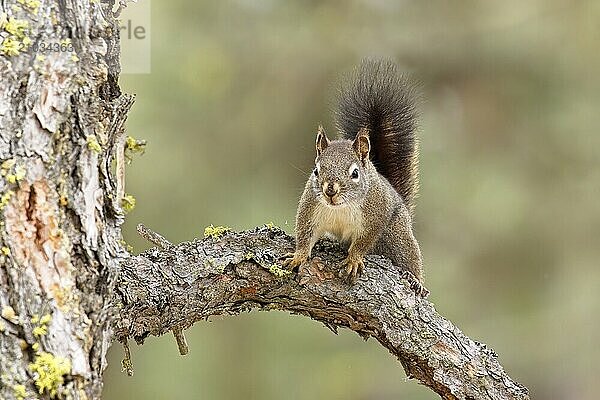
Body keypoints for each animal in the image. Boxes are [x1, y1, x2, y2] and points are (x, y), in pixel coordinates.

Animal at [282, 57, 426, 292]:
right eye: (316, 170)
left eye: (355, 173)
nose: (330, 191)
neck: (340, 207)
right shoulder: (310, 208)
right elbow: (304, 233)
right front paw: (299, 256)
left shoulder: (375, 215)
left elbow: (363, 241)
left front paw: (353, 259)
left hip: (398, 234)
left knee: (410, 257)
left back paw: (416, 281)